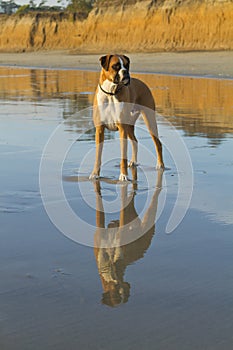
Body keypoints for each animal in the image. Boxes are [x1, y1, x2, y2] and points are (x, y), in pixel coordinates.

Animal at [89, 54, 164, 182]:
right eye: (115, 66)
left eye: (127, 65)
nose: (126, 72)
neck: (111, 93)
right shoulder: (99, 130)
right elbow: (98, 155)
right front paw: (95, 174)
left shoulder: (122, 129)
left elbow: (123, 155)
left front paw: (123, 175)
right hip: (130, 126)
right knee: (135, 141)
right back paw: (133, 162)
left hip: (149, 120)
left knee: (158, 143)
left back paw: (160, 165)